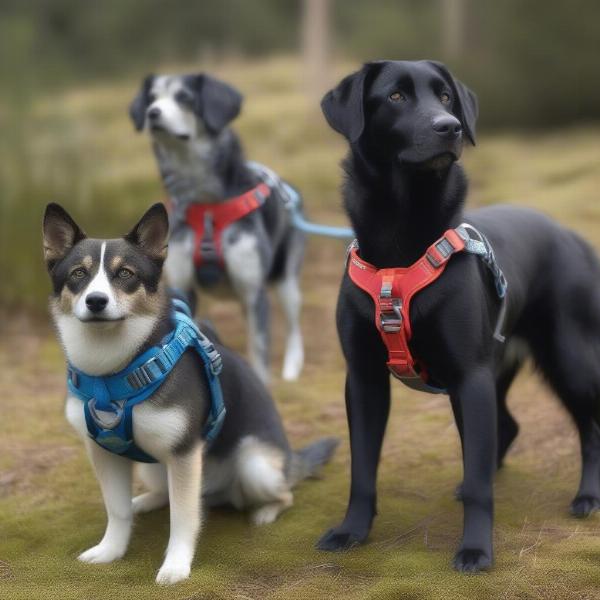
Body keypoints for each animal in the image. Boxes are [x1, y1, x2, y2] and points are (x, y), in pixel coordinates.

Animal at [42, 203, 338, 584]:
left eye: (125, 273)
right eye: (78, 273)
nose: (96, 301)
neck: (113, 366)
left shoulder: (183, 452)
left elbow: (183, 518)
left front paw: (176, 565)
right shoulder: (104, 452)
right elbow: (117, 510)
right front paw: (111, 550)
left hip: (255, 465)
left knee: (282, 493)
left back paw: (265, 511)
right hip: (155, 466)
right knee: (165, 493)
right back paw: (146, 501)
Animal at [126, 72, 304, 384]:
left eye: (184, 97)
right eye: (151, 98)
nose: (152, 113)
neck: (206, 207)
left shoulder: (253, 292)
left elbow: (259, 354)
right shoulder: (183, 287)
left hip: (286, 281)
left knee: (294, 326)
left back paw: (292, 366)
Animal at [314, 59, 600, 572]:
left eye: (446, 97)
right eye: (395, 97)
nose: (449, 128)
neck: (400, 245)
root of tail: (572, 236)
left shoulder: (470, 375)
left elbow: (482, 485)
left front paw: (476, 550)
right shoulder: (364, 379)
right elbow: (362, 469)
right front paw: (351, 531)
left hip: (569, 359)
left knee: (589, 429)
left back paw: (587, 497)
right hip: (499, 371)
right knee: (507, 428)